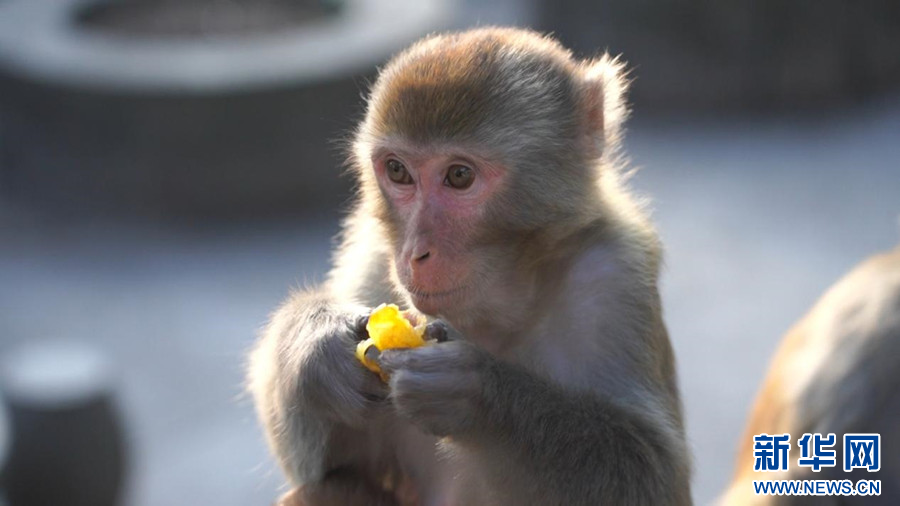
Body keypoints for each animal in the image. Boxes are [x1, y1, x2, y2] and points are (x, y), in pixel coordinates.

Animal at [250, 27, 692, 506]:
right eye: (398, 171)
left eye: (459, 176)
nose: (415, 253)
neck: (496, 317)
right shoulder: (372, 257)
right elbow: (324, 465)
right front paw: (318, 343)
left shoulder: (616, 274)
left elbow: (654, 470)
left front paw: (477, 395)